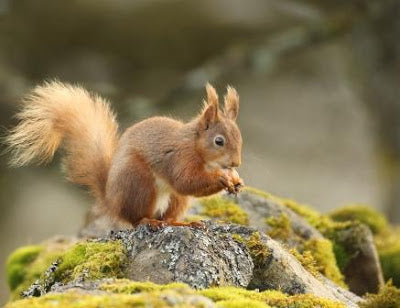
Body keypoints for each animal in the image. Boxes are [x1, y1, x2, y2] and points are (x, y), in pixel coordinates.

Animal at [6, 81, 244, 229]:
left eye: (240, 137)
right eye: (219, 141)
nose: (236, 162)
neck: (196, 147)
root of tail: (111, 201)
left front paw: (236, 181)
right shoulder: (178, 158)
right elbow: (186, 181)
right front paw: (222, 179)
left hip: (176, 200)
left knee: (169, 217)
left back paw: (182, 223)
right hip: (138, 181)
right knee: (135, 219)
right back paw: (150, 222)